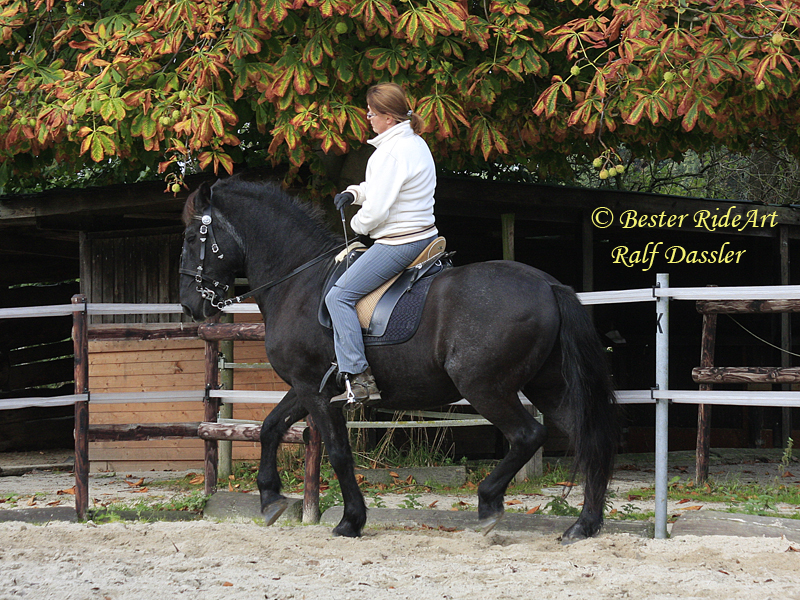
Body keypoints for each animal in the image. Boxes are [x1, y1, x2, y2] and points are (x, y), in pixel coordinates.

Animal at [181, 176, 620, 540]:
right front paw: (271, 498)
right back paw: (583, 525)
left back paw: (490, 503)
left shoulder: (315, 390)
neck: (298, 281)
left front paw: (350, 521)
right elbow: (270, 428)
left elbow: (338, 453)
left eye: (190, 237)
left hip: (484, 386)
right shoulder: (308, 387)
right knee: (588, 439)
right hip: (548, 385)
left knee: (528, 435)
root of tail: (547, 285)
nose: (189, 306)